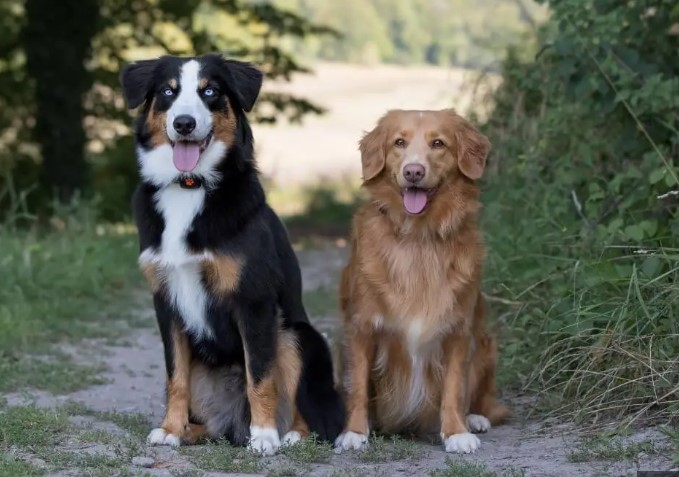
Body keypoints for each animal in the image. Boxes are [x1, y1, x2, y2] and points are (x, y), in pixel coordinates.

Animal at [119, 54, 346, 454]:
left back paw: (287, 435)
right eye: (167, 92)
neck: (190, 187)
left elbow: (260, 377)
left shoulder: (253, 300)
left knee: (308, 413)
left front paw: (265, 436)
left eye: (210, 91)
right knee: (215, 424)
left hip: (296, 336)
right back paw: (194, 431)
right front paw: (170, 429)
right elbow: (175, 377)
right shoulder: (166, 302)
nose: (184, 123)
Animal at [338, 108, 508, 454]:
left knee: (482, 398)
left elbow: (454, 388)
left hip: (486, 344)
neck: (418, 237)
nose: (413, 171)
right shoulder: (361, 328)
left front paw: (456, 431)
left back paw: (475, 418)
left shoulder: (458, 331)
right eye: (399, 142)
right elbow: (358, 383)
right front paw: (355, 432)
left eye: (438, 143)